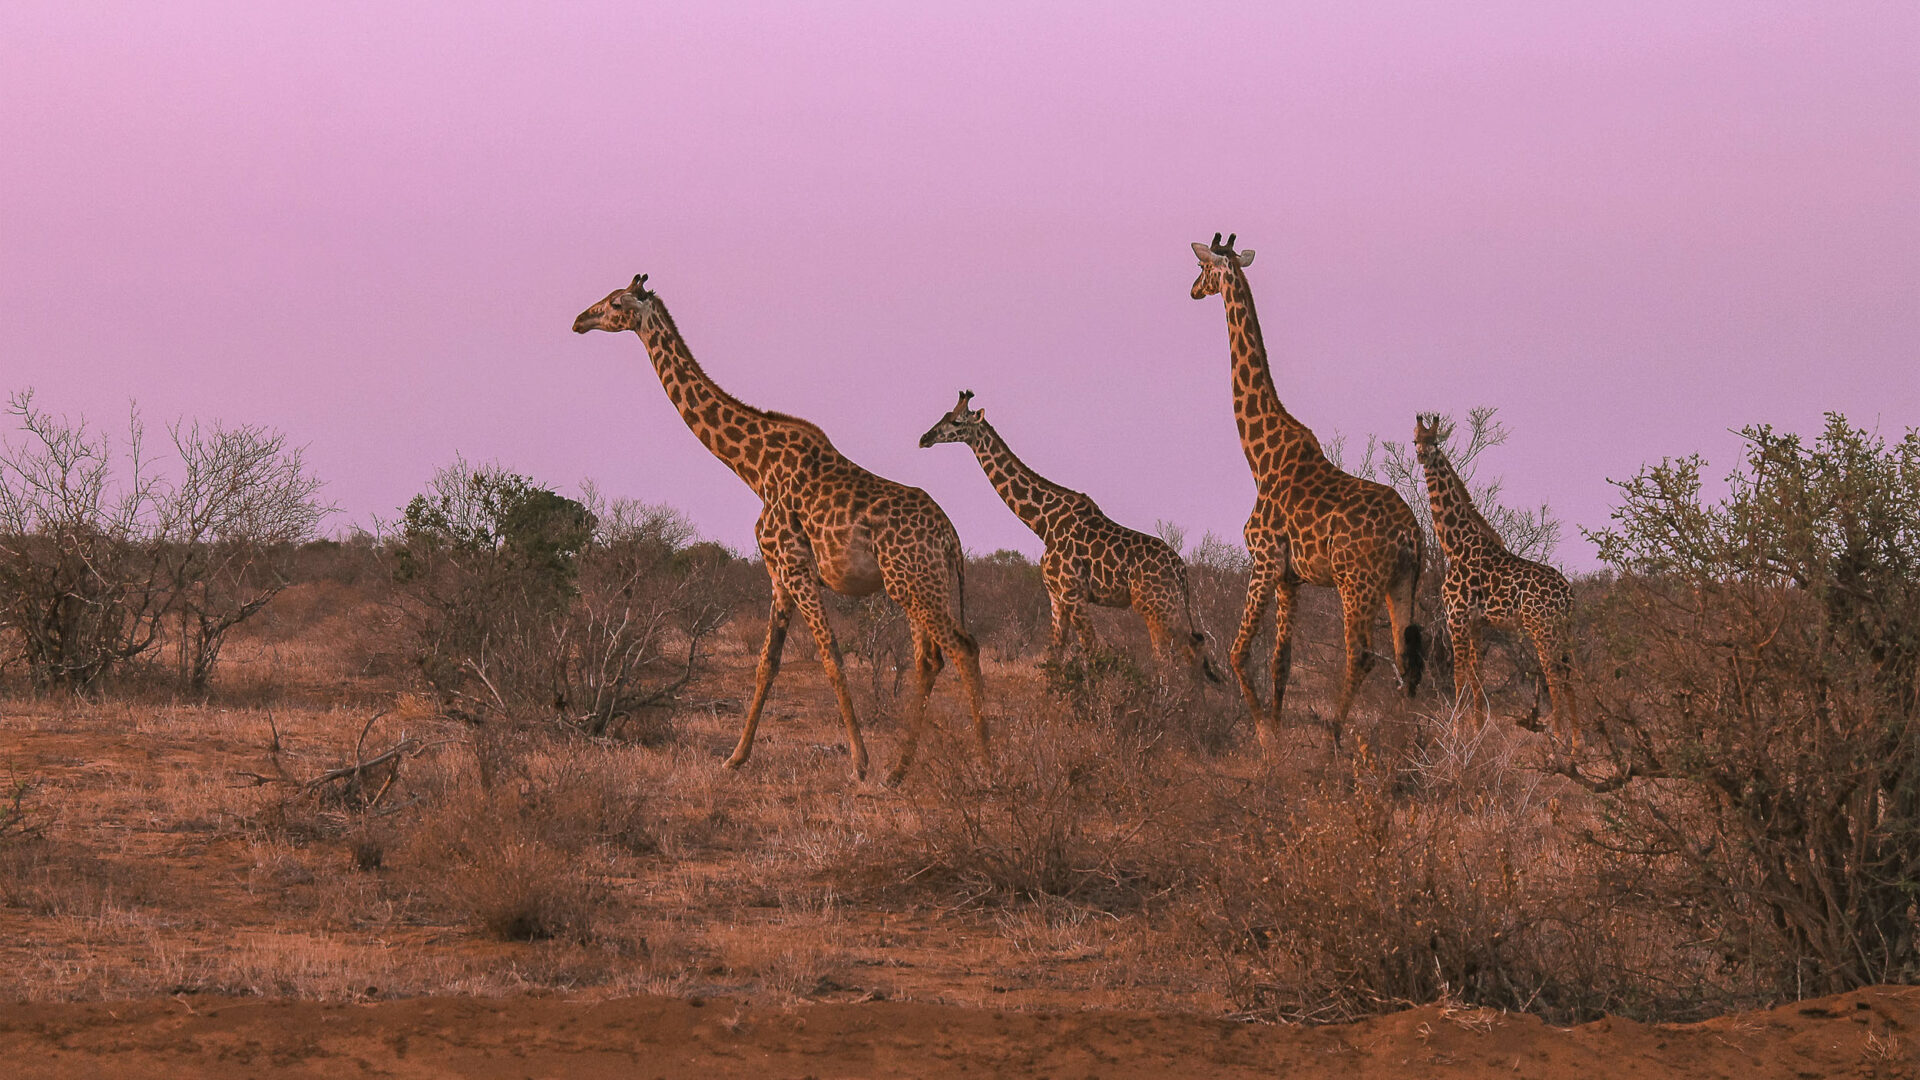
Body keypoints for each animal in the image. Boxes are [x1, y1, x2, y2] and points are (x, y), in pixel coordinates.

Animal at [573, 274, 989, 784]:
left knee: (963, 648)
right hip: (920, 583)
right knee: (930, 659)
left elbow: (831, 656)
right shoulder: (777, 575)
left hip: (914, 582)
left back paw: (986, 764)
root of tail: (951, 537)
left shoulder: (794, 565)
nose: (580, 320)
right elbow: (766, 664)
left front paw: (859, 762)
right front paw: (735, 757)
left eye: (615, 303)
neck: (753, 467)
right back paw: (899, 770)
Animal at [918, 390, 1223, 684]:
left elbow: (1093, 652)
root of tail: (1181, 569)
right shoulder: (1057, 598)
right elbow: (1054, 657)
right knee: (1190, 651)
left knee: (1172, 655)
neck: (1042, 523)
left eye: (957, 422)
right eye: (945, 415)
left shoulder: (1073, 594)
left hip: (1156, 607)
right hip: (1164, 607)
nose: (925, 438)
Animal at [1189, 233, 1426, 747]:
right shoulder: (1290, 576)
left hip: (1355, 582)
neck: (1260, 458)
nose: (1192, 291)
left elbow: (1238, 652)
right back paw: (1411, 743)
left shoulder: (1263, 560)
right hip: (1402, 581)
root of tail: (1412, 535)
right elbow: (1282, 661)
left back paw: (1335, 736)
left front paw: (1265, 738)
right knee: (1406, 659)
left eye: (1202, 268)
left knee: (1362, 654)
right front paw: (1276, 737)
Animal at [1412, 412, 1578, 751]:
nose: (1422, 455)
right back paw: (1579, 742)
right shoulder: (1476, 622)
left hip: (1542, 629)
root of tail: (1568, 594)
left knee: (1554, 675)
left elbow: (1459, 676)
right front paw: (1478, 732)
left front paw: (1456, 734)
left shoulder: (1456, 616)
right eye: (1415, 440)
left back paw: (1558, 737)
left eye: (1435, 441)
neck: (1454, 545)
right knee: (1572, 676)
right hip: (1563, 629)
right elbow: (1477, 675)